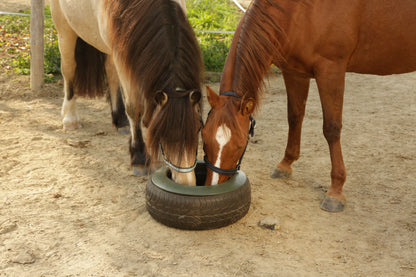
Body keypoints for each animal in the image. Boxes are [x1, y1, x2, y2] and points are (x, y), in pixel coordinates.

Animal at [51, 0, 204, 185]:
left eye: (198, 128)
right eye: (162, 134)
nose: (186, 182)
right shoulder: (123, 57)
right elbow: (134, 108)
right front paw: (139, 158)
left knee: (110, 72)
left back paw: (120, 120)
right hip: (65, 30)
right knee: (68, 69)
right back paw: (70, 119)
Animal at [202, 0, 416, 210]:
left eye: (240, 144)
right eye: (203, 137)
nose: (213, 188)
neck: (301, 10)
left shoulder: (331, 71)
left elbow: (331, 128)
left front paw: (335, 191)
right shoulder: (295, 72)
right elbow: (294, 117)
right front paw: (285, 164)